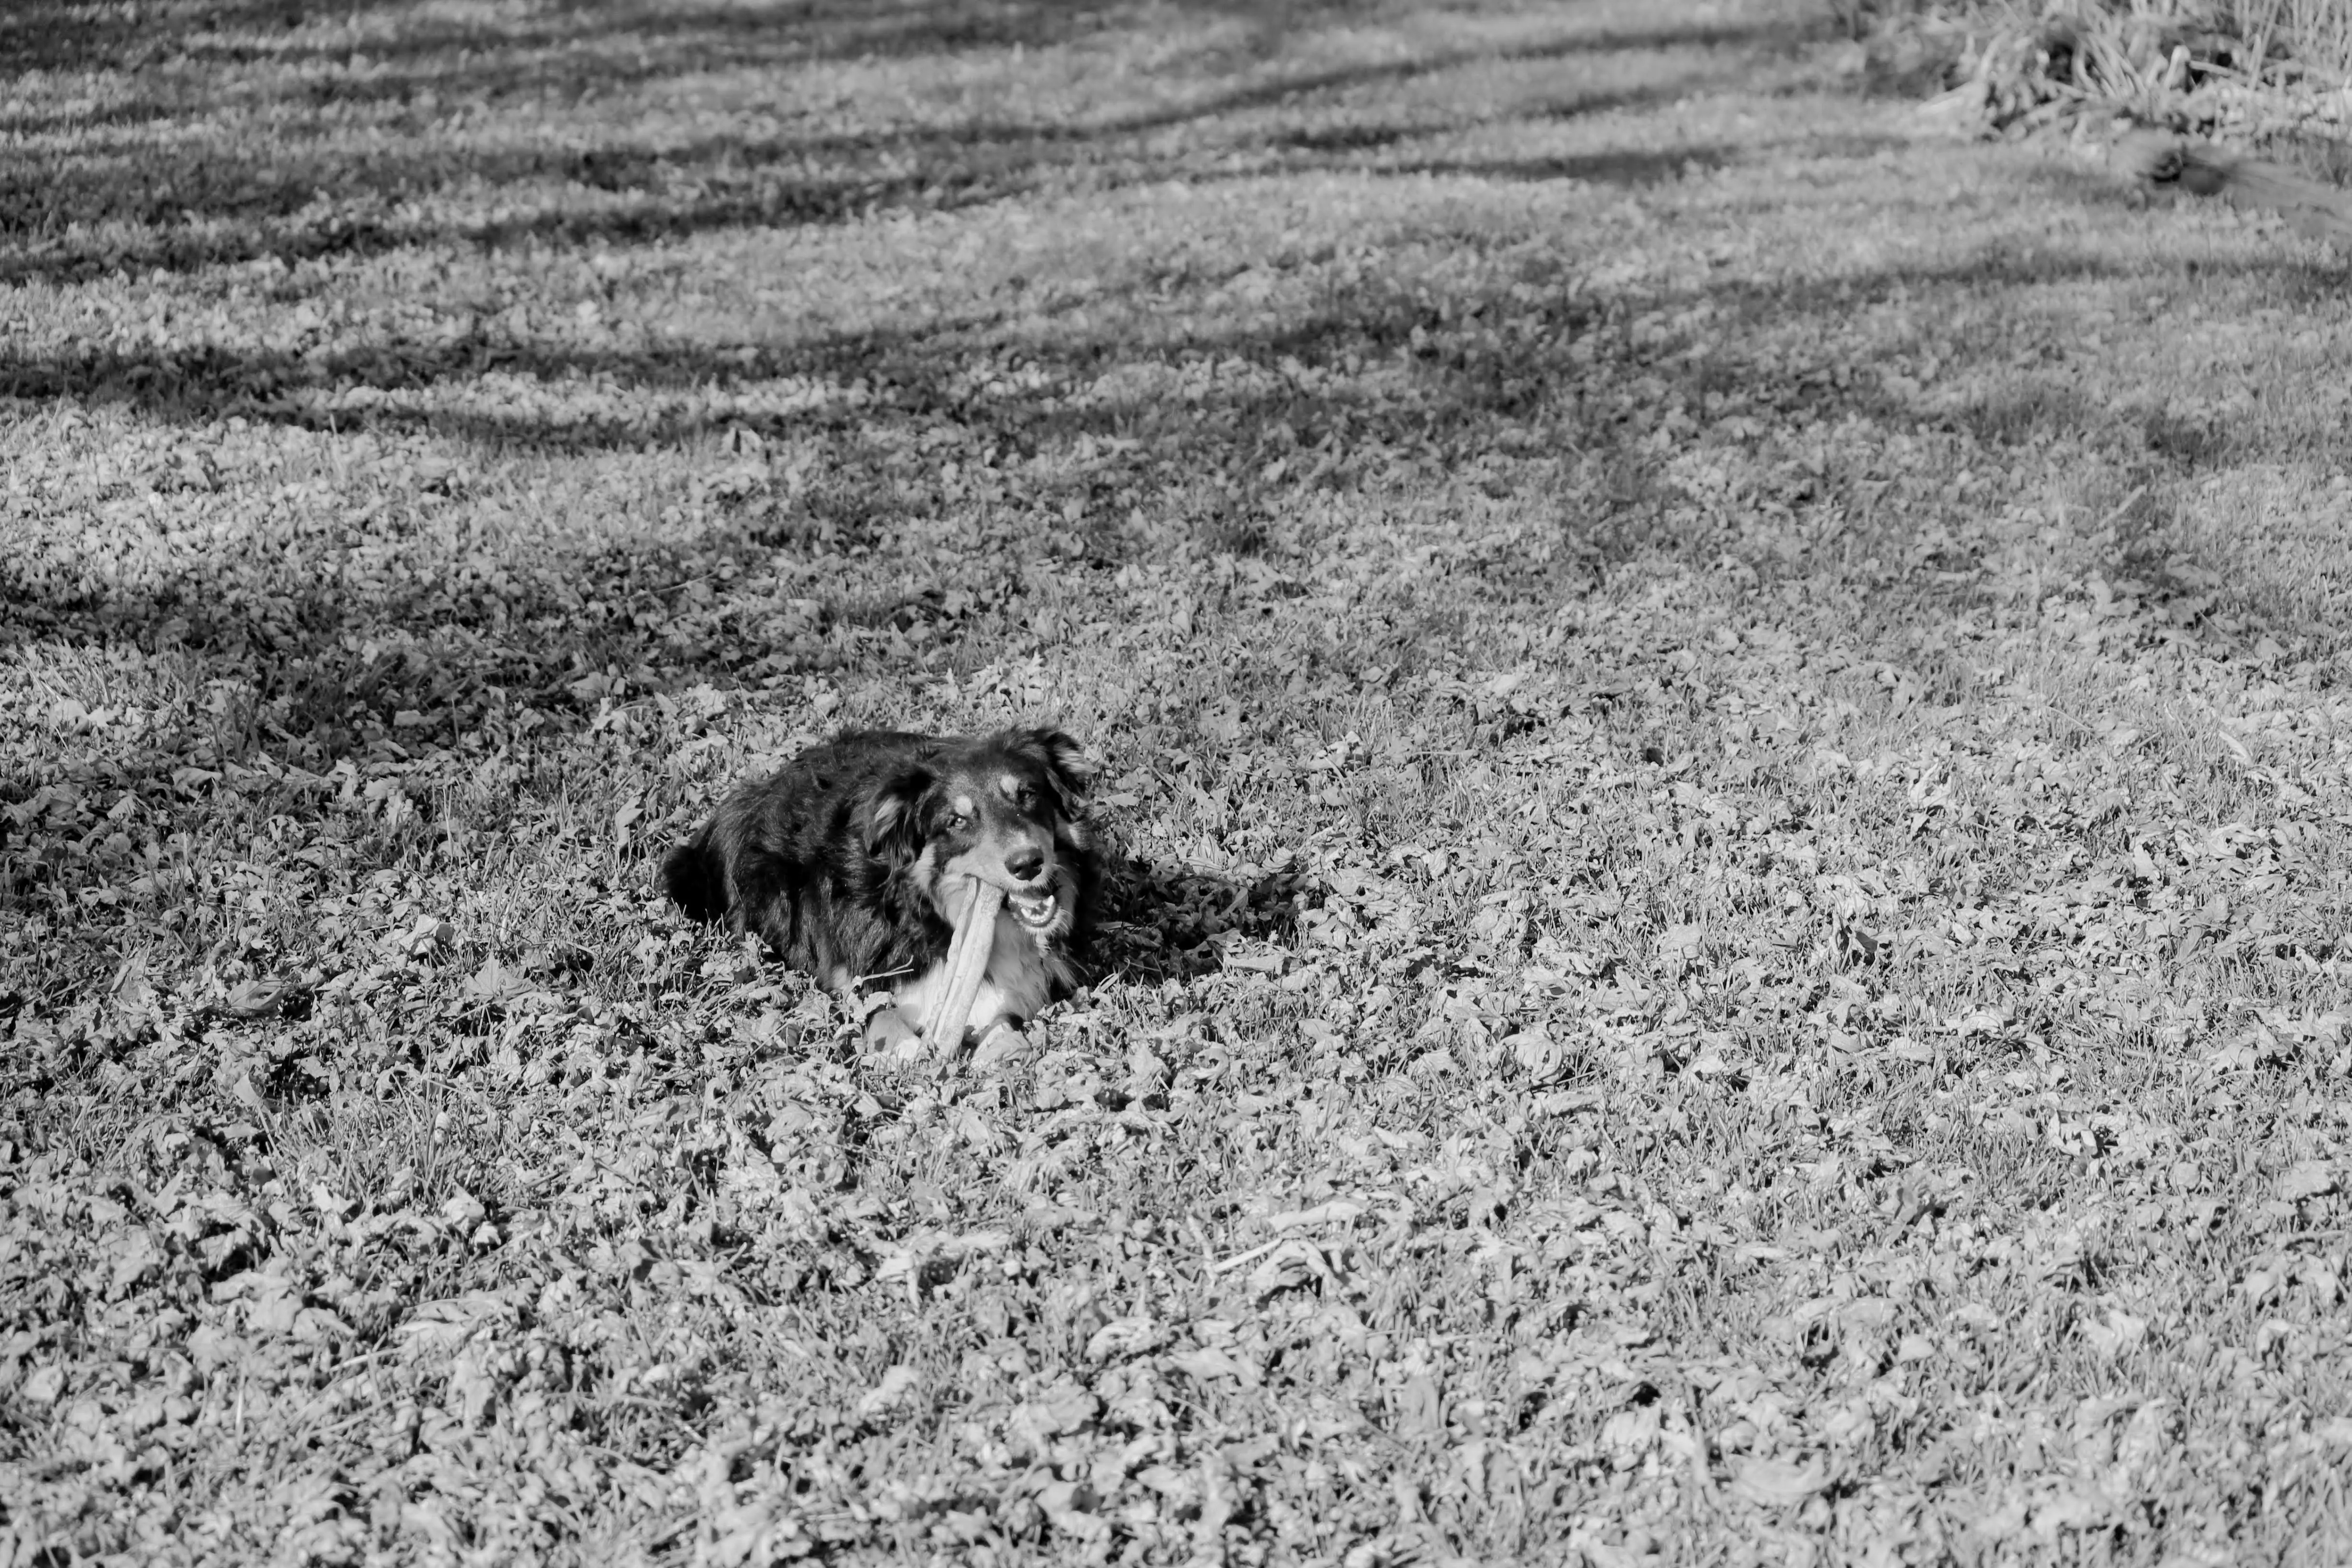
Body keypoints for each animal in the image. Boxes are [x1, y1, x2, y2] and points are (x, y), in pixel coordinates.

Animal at [663, 729, 1101, 1053]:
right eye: (957, 820)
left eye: (1028, 794)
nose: (1027, 864)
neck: (928, 916)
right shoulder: (850, 977)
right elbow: (881, 1014)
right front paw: (910, 1054)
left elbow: (1004, 1023)